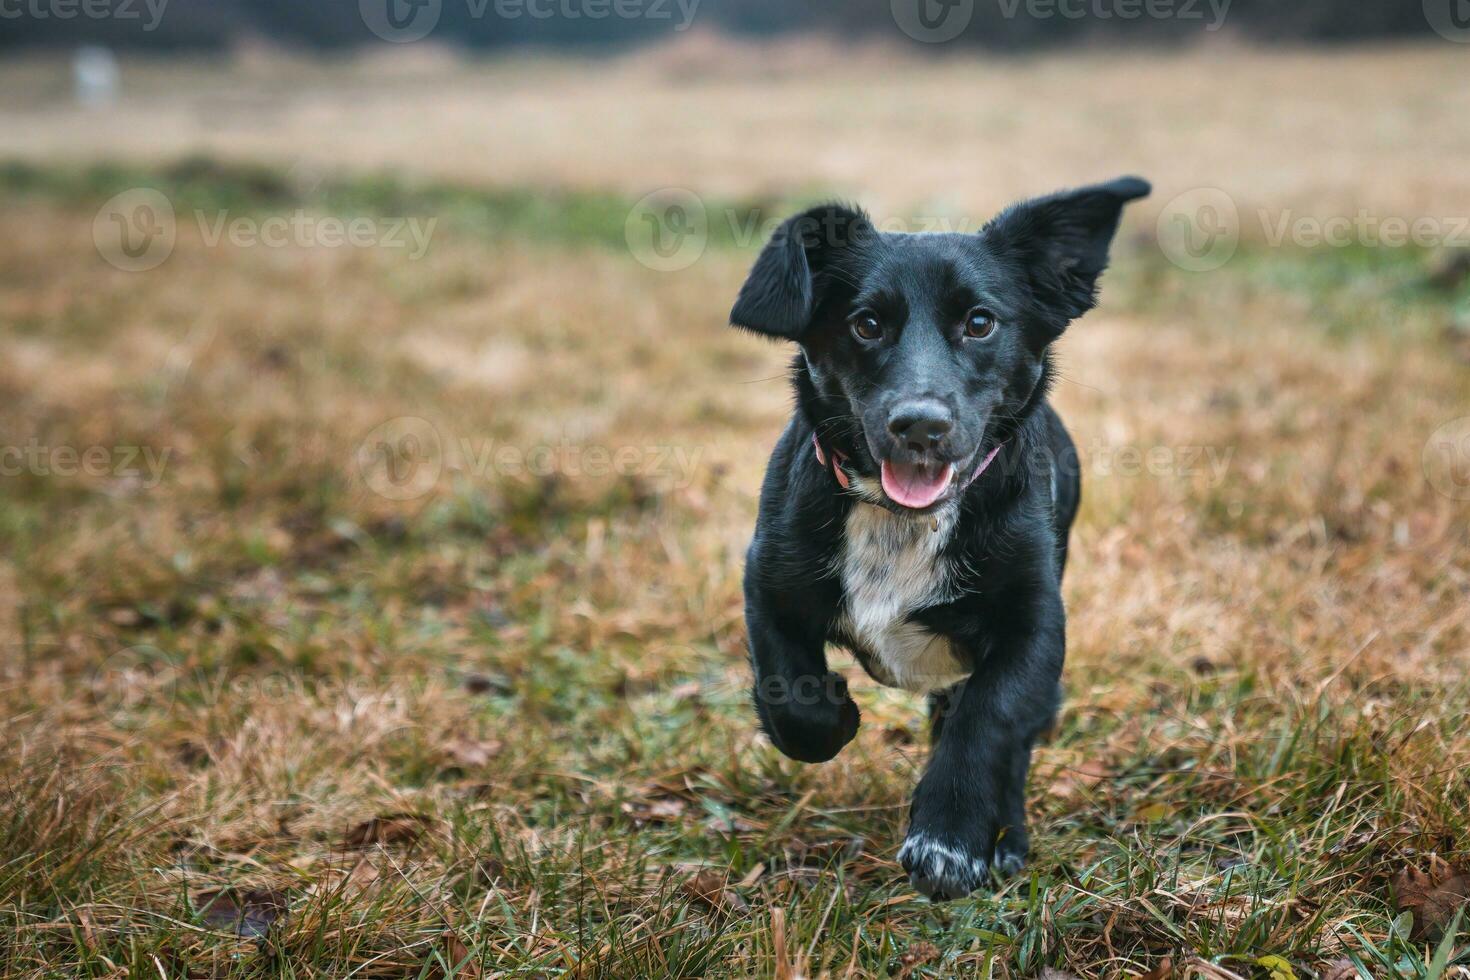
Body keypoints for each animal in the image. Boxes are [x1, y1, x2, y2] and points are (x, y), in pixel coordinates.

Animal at [729, 178, 1152, 905]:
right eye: (866, 324)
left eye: (980, 322)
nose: (920, 425)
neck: (901, 520)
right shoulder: (767, 580)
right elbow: (792, 693)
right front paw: (835, 716)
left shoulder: (1035, 629)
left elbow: (987, 719)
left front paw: (951, 837)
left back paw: (1006, 836)